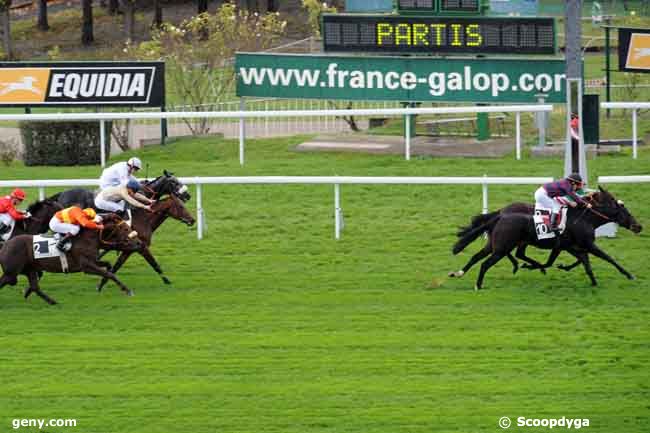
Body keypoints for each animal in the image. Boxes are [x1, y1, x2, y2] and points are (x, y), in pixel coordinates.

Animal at [0, 215, 141, 304]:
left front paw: (101, 285)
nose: (139, 243)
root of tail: (5, 245)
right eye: (125, 228)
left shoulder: (92, 261)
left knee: (35, 286)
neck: (89, 237)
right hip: (11, 273)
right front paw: (127, 290)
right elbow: (110, 273)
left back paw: (51, 301)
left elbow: (108, 267)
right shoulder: (86, 266)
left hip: (29, 269)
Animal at [450, 186, 644, 290]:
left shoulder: (570, 246)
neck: (583, 219)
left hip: (496, 244)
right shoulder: (585, 244)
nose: (638, 226)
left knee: (477, 257)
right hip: (503, 247)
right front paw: (629, 275)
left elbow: (583, 262)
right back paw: (479, 284)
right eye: (626, 213)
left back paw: (458, 273)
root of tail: (500, 215)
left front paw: (593, 282)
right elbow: (608, 258)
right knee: (486, 263)